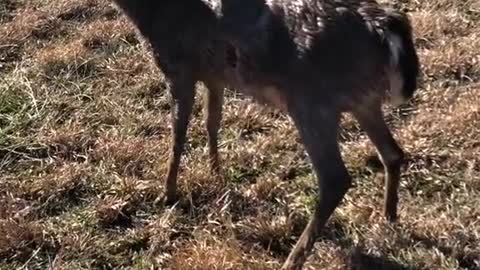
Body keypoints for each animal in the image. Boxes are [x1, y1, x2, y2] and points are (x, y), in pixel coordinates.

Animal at [113, 1, 420, 268]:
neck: (152, 14)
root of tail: (385, 27)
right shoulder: (214, 76)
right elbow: (212, 121)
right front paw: (216, 174)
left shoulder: (178, 68)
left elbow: (178, 133)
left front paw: (168, 194)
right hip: (363, 100)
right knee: (392, 153)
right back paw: (388, 218)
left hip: (312, 101)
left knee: (335, 178)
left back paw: (293, 259)